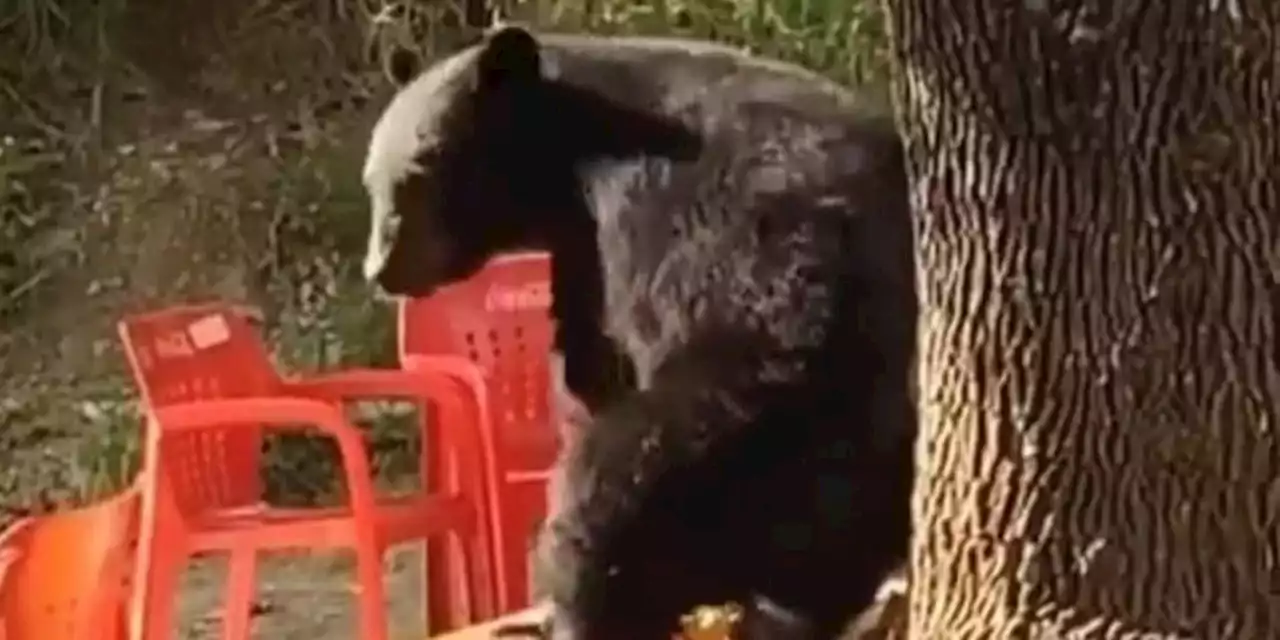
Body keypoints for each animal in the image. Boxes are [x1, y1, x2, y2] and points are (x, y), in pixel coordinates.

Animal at [366, 24, 916, 640]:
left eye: (417, 176)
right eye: (373, 181)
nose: (381, 270)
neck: (572, 157)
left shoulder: (658, 217)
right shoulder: (582, 251)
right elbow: (590, 355)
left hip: (775, 433)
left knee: (615, 488)